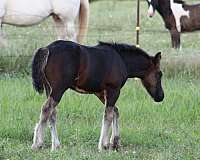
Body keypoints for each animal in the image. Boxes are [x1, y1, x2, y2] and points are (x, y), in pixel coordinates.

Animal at [30, 40, 164, 151]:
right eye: (160, 74)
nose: (161, 96)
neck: (122, 60)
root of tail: (47, 49)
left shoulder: (100, 92)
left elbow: (115, 111)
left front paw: (115, 143)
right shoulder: (114, 89)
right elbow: (108, 115)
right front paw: (104, 145)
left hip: (49, 89)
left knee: (52, 114)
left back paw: (56, 145)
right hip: (58, 89)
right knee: (46, 109)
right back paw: (38, 144)